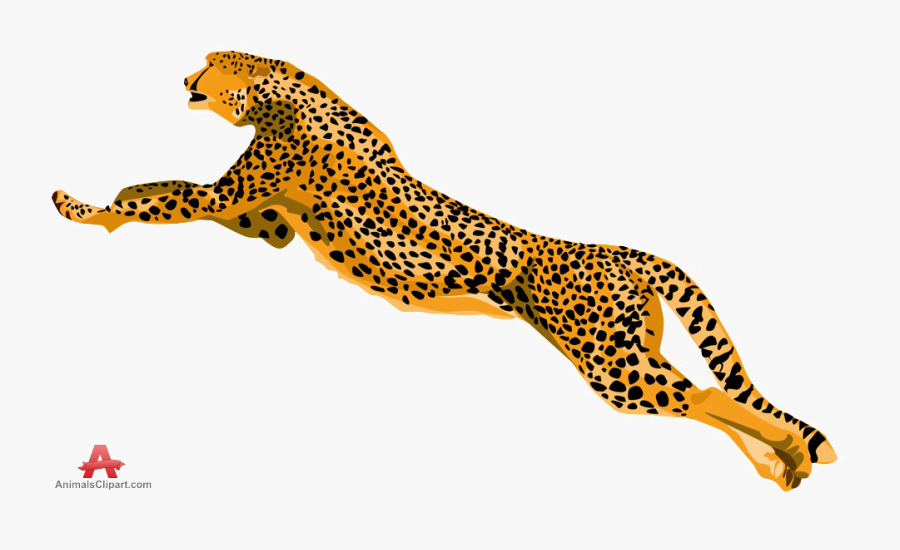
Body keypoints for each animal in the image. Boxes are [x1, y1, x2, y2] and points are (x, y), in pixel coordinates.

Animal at [52, 51, 837, 491]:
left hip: (610, 365)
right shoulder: (264, 223)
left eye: (213, 63)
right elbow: (157, 187)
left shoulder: (233, 200)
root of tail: (620, 251)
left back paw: (790, 452)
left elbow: (164, 200)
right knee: (706, 397)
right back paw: (783, 463)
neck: (280, 92)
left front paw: (82, 207)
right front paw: (118, 193)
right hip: (630, 353)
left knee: (709, 396)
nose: (185, 77)